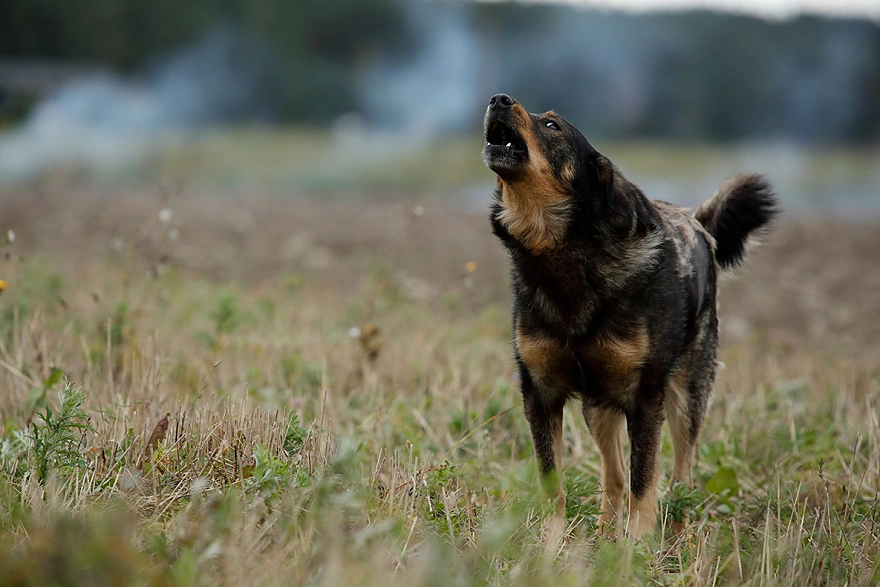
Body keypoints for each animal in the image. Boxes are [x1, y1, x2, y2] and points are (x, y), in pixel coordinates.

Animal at [482, 94, 776, 540]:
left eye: (552, 125)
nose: (499, 99)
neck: (565, 256)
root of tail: (698, 221)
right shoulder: (540, 392)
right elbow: (554, 481)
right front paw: (552, 543)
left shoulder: (645, 397)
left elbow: (645, 482)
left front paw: (636, 546)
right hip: (598, 403)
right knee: (614, 474)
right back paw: (605, 531)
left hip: (688, 394)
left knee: (682, 475)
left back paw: (676, 532)